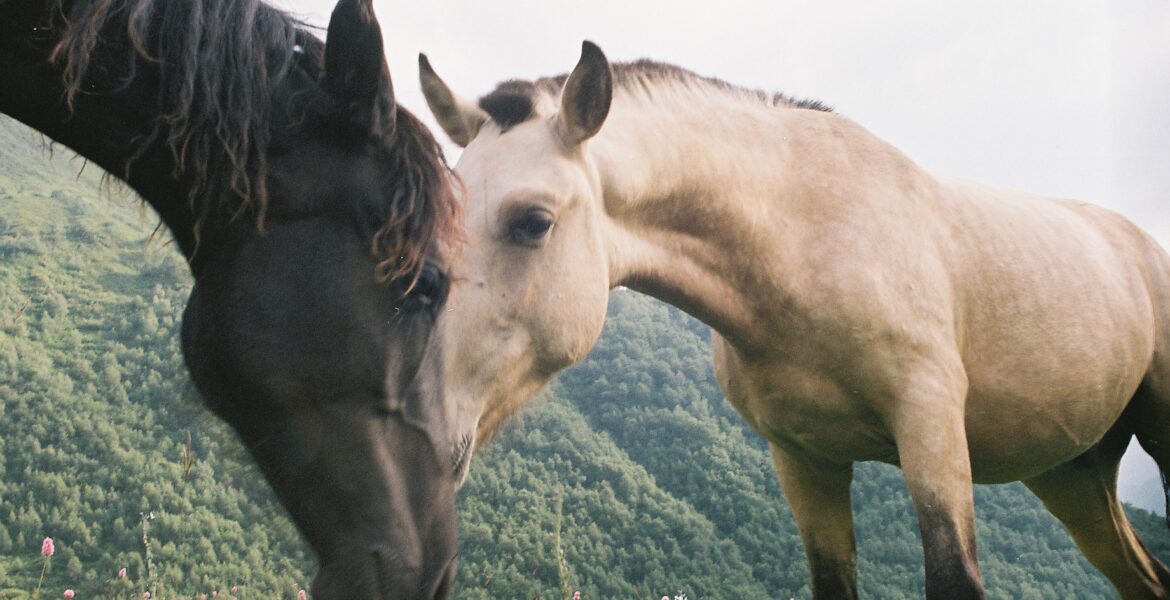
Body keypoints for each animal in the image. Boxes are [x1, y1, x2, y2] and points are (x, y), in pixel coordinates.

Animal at [418, 42, 1170, 599]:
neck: (806, 238)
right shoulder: (805, 459)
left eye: (532, 221)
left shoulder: (930, 427)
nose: (426, 435)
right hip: (1073, 477)